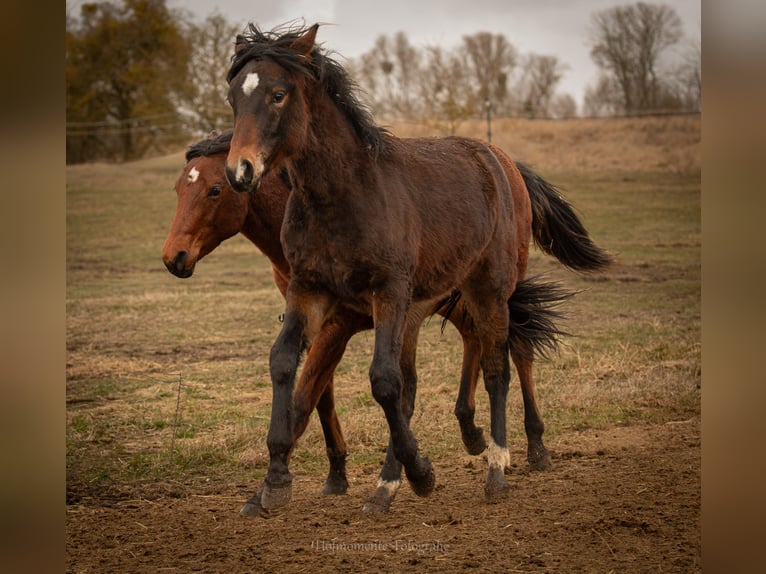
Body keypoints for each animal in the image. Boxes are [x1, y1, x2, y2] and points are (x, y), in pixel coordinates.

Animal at [223, 23, 610, 512]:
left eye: (277, 94)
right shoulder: (309, 290)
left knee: (497, 368)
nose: (239, 171)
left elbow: (383, 382)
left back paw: (497, 468)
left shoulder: (387, 291)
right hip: (427, 306)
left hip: (489, 289)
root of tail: (501, 161)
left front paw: (422, 472)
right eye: (233, 97)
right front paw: (274, 479)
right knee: (437, 372)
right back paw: (394, 482)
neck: (343, 197)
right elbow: (285, 363)